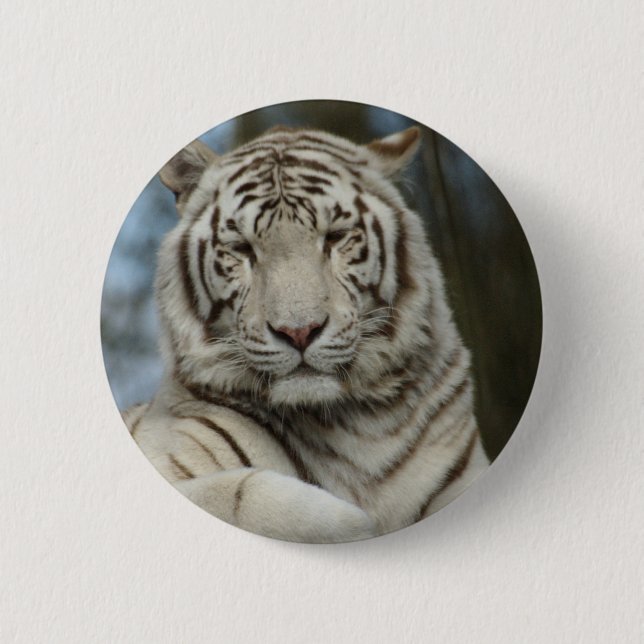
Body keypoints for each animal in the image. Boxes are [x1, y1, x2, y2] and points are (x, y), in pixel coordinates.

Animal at [124, 124, 490, 543]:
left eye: (335, 237)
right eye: (241, 248)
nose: (298, 331)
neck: (359, 429)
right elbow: (242, 495)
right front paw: (355, 522)